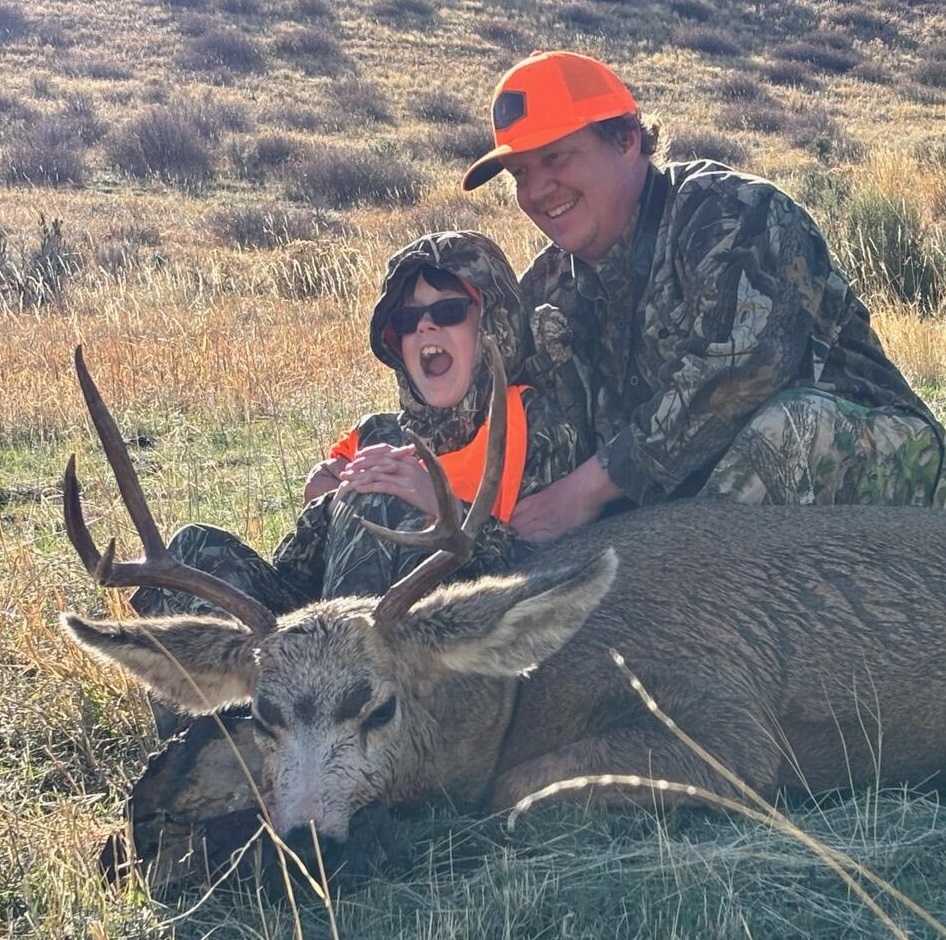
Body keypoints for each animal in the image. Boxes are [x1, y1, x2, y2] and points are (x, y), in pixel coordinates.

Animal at [60, 343, 946, 864]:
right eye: (261, 714)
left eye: (378, 706)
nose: (310, 843)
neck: (524, 690)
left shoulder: (732, 727)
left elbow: (511, 792)